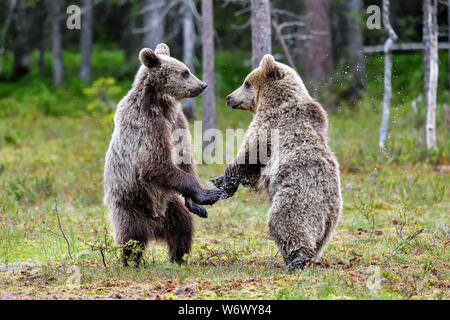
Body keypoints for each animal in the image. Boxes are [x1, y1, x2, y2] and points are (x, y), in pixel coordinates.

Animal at [103, 43, 223, 266]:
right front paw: (208, 193)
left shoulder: (177, 120)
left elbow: (184, 157)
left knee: (182, 226)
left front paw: (196, 203)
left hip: (169, 204)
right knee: (132, 234)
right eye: (185, 72)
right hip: (130, 203)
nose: (203, 85)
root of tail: (155, 224)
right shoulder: (146, 124)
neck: (161, 103)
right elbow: (155, 163)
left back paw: (179, 258)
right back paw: (131, 262)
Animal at [213, 54, 342, 270]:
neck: (273, 100)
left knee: (284, 221)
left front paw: (223, 180)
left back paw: (298, 259)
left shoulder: (269, 126)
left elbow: (250, 156)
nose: (229, 97)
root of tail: (328, 205)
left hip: (298, 197)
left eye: (246, 83)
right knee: (319, 238)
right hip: (331, 221)